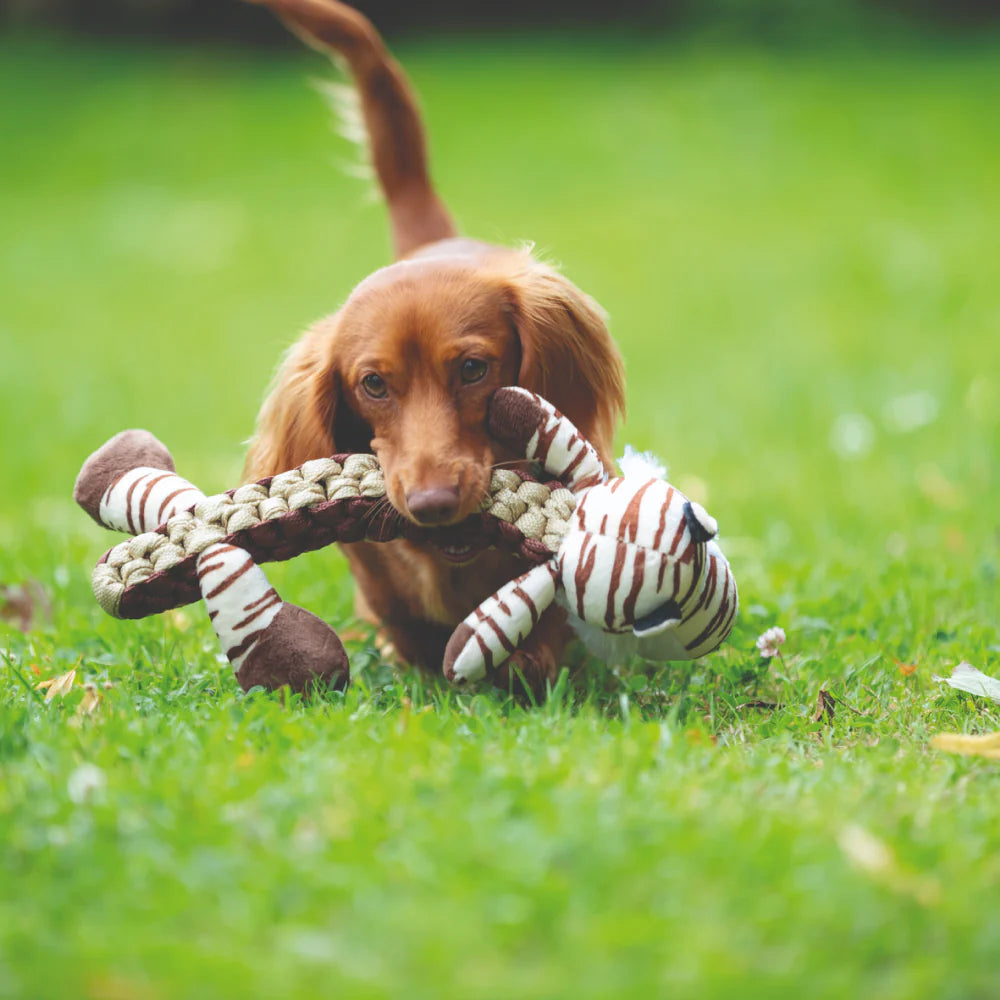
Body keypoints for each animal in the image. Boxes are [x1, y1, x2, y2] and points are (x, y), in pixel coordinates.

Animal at [243, 0, 624, 692]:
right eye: (372, 384)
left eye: (473, 369)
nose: (431, 504)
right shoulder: (375, 572)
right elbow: (405, 624)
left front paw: (525, 657)